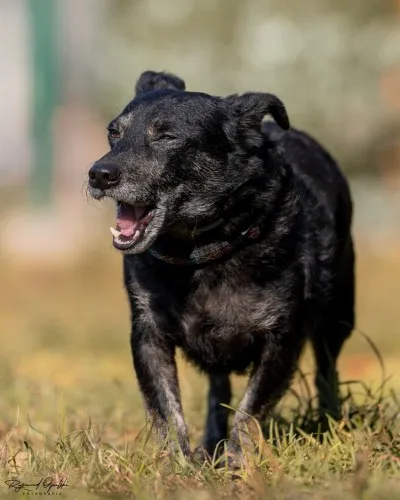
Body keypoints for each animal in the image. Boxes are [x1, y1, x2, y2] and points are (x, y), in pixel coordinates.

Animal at [89, 69, 354, 460]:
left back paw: (330, 420)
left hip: (338, 315)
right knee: (219, 388)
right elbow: (166, 410)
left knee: (327, 368)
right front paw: (178, 464)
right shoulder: (148, 335)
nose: (99, 174)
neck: (200, 253)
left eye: (167, 136)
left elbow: (250, 409)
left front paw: (238, 463)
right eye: (114, 132)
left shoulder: (281, 339)